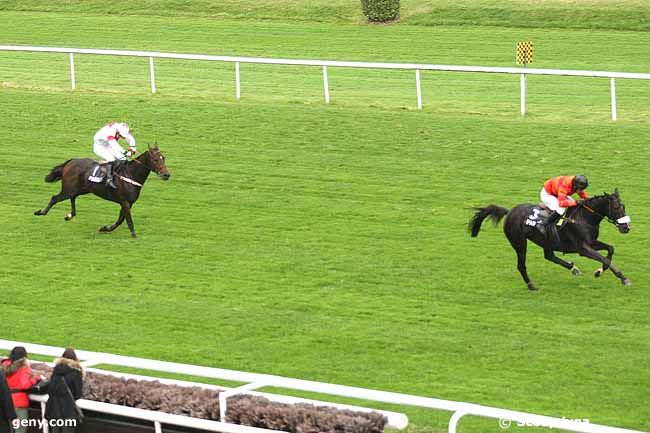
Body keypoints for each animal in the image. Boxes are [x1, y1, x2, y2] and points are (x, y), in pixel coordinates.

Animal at [34, 146, 170, 240]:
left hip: (80, 189)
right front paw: (134, 236)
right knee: (54, 198)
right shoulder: (125, 202)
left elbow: (120, 220)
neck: (131, 174)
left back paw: (70, 215)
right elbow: (128, 220)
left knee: (72, 197)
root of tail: (71, 161)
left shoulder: (128, 203)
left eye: (163, 158)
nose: (166, 174)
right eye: (155, 159)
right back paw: (41, 212)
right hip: (68, 189)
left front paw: (105, 228)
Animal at [468, 190, 632, 288]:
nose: (626, 227)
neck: (584, 218)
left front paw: (600, 270)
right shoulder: (583, 248)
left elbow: (610, 249)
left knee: (549, 256)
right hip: (519, 242)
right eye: (616, 208)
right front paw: (622, 278)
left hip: (546, 241)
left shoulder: (591, 242)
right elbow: (604, 258)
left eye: (623, 206)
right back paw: (531, 285)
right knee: (521, 265)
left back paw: (573, 268)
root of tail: (509, 212)